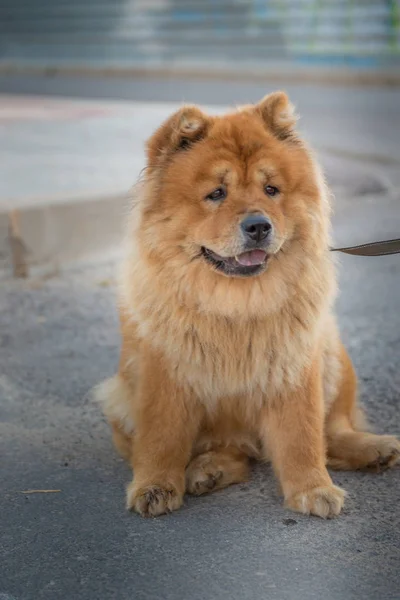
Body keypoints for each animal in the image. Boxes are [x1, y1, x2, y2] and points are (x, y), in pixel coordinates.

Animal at [97, 91, 400, 516]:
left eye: (271, 189)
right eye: (216, 194)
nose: (258, 225)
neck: (236, 302)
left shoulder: (295, 366)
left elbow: (303, 436)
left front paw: (313, 489)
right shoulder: (165, 371)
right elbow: (162, 436)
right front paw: (155, 487)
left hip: (333, 356)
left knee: (333, 430)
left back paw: (375, 448)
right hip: (119, 398)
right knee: (232, 452)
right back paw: (208, 470)